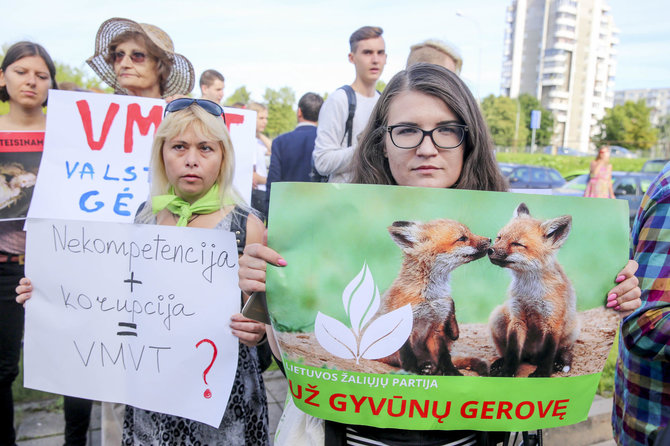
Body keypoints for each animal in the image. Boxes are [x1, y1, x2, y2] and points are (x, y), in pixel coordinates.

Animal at [380, 204, 580, 378]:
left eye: (517, 244)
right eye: (500, 237)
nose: (490, 245)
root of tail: (532, 356)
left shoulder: (552, 321)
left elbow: (548, 353)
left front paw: (542, 374)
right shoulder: (516, 317)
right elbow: (513, 351)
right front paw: (507, 371)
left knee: (564, 350)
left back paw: (561, 362)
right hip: (499, 317)